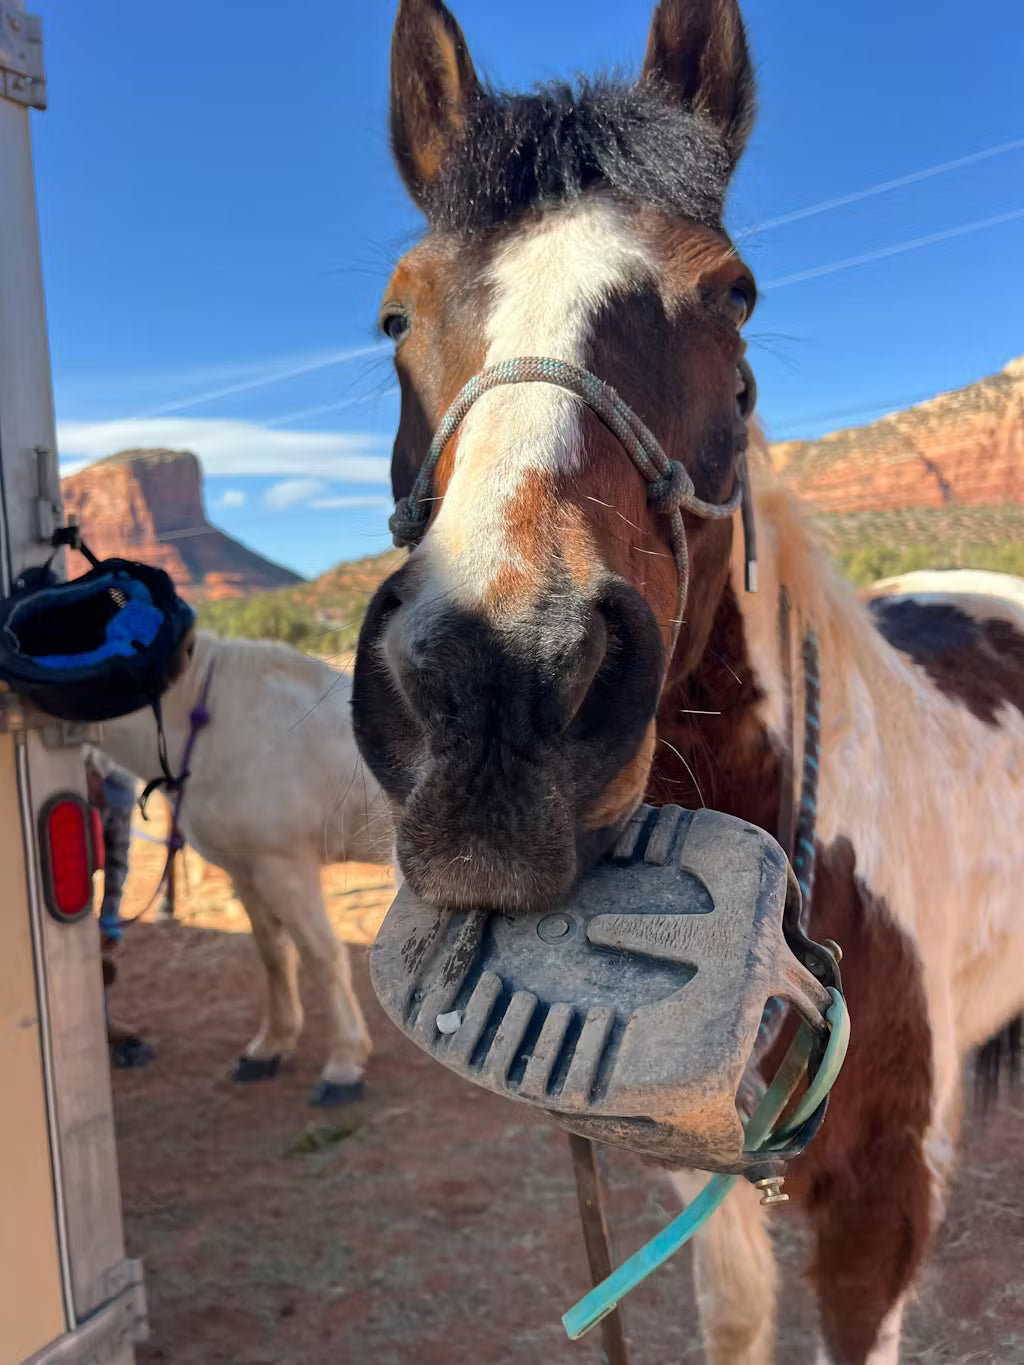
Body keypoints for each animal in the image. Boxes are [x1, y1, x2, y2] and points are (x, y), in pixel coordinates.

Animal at [97, 628, 392, 1105]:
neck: (217, 722)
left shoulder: (285, 867)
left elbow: (322, 956)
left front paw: (344, 1066)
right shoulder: (248, 872)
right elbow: (273, 955)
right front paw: (269, 1049)